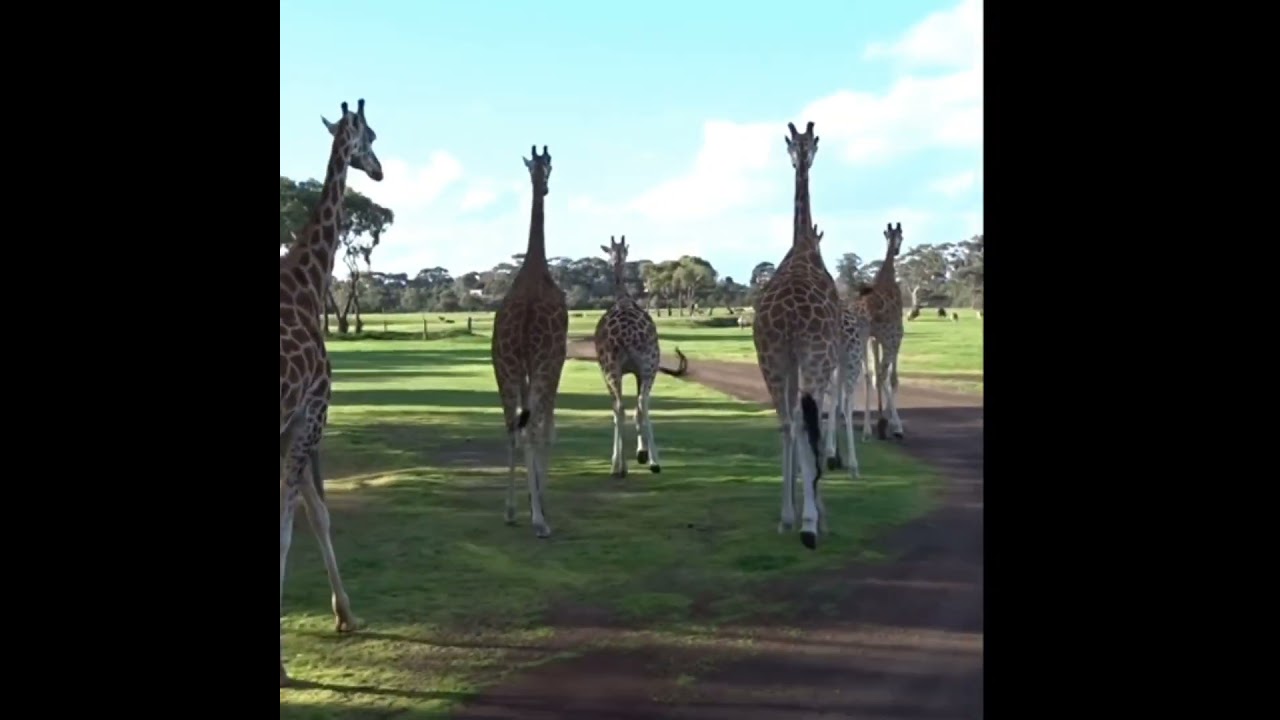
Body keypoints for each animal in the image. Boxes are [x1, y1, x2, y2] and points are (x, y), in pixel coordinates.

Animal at [594, 235, 689, 477]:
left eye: (623, 250)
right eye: (612, 251)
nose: (616, 258)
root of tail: (628, 336)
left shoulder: (610, 370)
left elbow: (619, 410)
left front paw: (630, 457)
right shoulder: (636, 371)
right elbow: (636, 409)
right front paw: (642, 454)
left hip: (615, 367)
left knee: (623, 407)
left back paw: (619, 467)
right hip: (647, 365)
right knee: (641, 404)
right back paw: (653, 462)